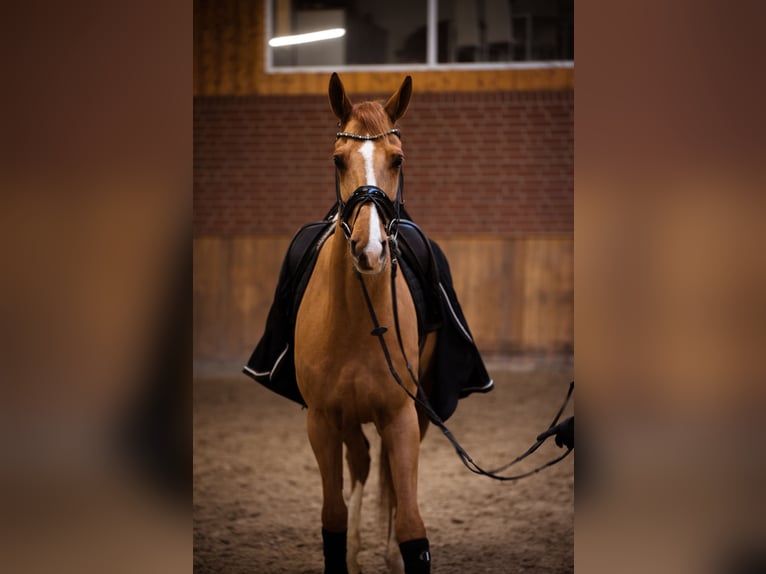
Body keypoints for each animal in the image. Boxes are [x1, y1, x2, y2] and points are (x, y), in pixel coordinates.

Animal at [294, 73, 436, 574]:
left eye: (398, 159)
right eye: (338, 160)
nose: (370, 250)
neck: (358, 319)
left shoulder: (402, 417)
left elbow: (412, 521)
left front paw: (398, 551)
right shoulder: (321, 420)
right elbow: (332, 516)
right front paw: (347, 551)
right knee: (359, 462)